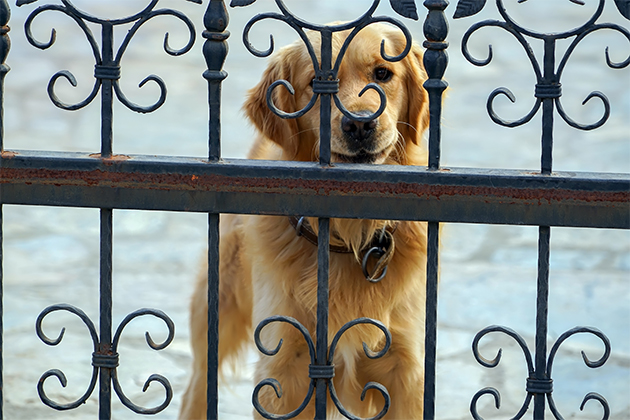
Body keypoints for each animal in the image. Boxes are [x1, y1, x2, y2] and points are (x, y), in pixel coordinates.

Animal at [180, 23, 432, 420]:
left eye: (382, 74)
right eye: (316, 83)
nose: (359, 124)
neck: (346, 238)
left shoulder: (405, 370)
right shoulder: (284, 366)